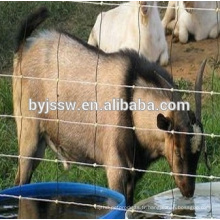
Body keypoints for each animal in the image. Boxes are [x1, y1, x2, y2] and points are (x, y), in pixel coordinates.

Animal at [12, 8, 204, 205]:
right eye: (178, 151)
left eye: (199, 153)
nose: (188, 191)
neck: (132, 101)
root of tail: (24, 47)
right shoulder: (115, 169)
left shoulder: (132, 175)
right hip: (28, 134)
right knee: (20, 181)